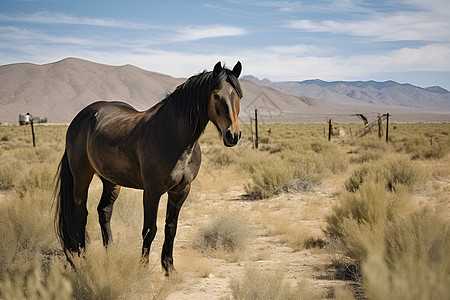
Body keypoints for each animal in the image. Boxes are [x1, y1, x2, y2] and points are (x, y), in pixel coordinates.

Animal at [53, 61, 243, 274]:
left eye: (239, 95)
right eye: (216, 95)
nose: (233, 135)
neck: (174, 136)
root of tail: (79, 119)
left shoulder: (180, 191)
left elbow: (171, 228)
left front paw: (169, 268)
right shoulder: (152, 191)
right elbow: (150, 230)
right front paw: (143, 269)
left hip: (111, 181)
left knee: (104, 211)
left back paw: (110, 253)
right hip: (82, 177)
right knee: (81, 214)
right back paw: (81, 257)